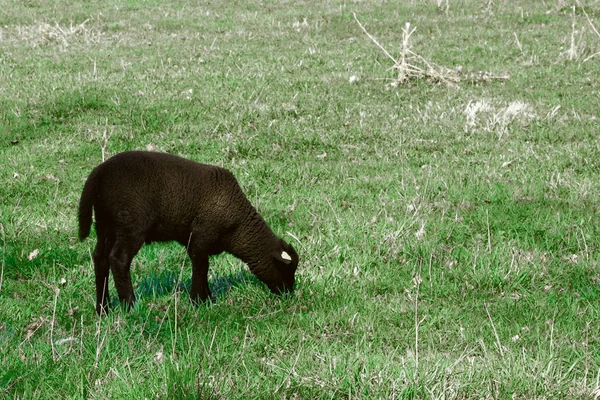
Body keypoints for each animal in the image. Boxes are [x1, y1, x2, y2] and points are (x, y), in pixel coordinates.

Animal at [77, 152, 298, 314]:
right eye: (285, 269)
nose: (289, 294)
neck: (238, 226)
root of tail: (97, 176)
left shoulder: (192, 239)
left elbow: (202, 266)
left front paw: (208, 298)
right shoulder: (201, 237)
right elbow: (201, 267)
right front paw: (198, 301)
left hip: (105, 224)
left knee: (100, 258)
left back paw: (103, 308)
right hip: (130, 224)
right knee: (118, 259)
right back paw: (130, 305)